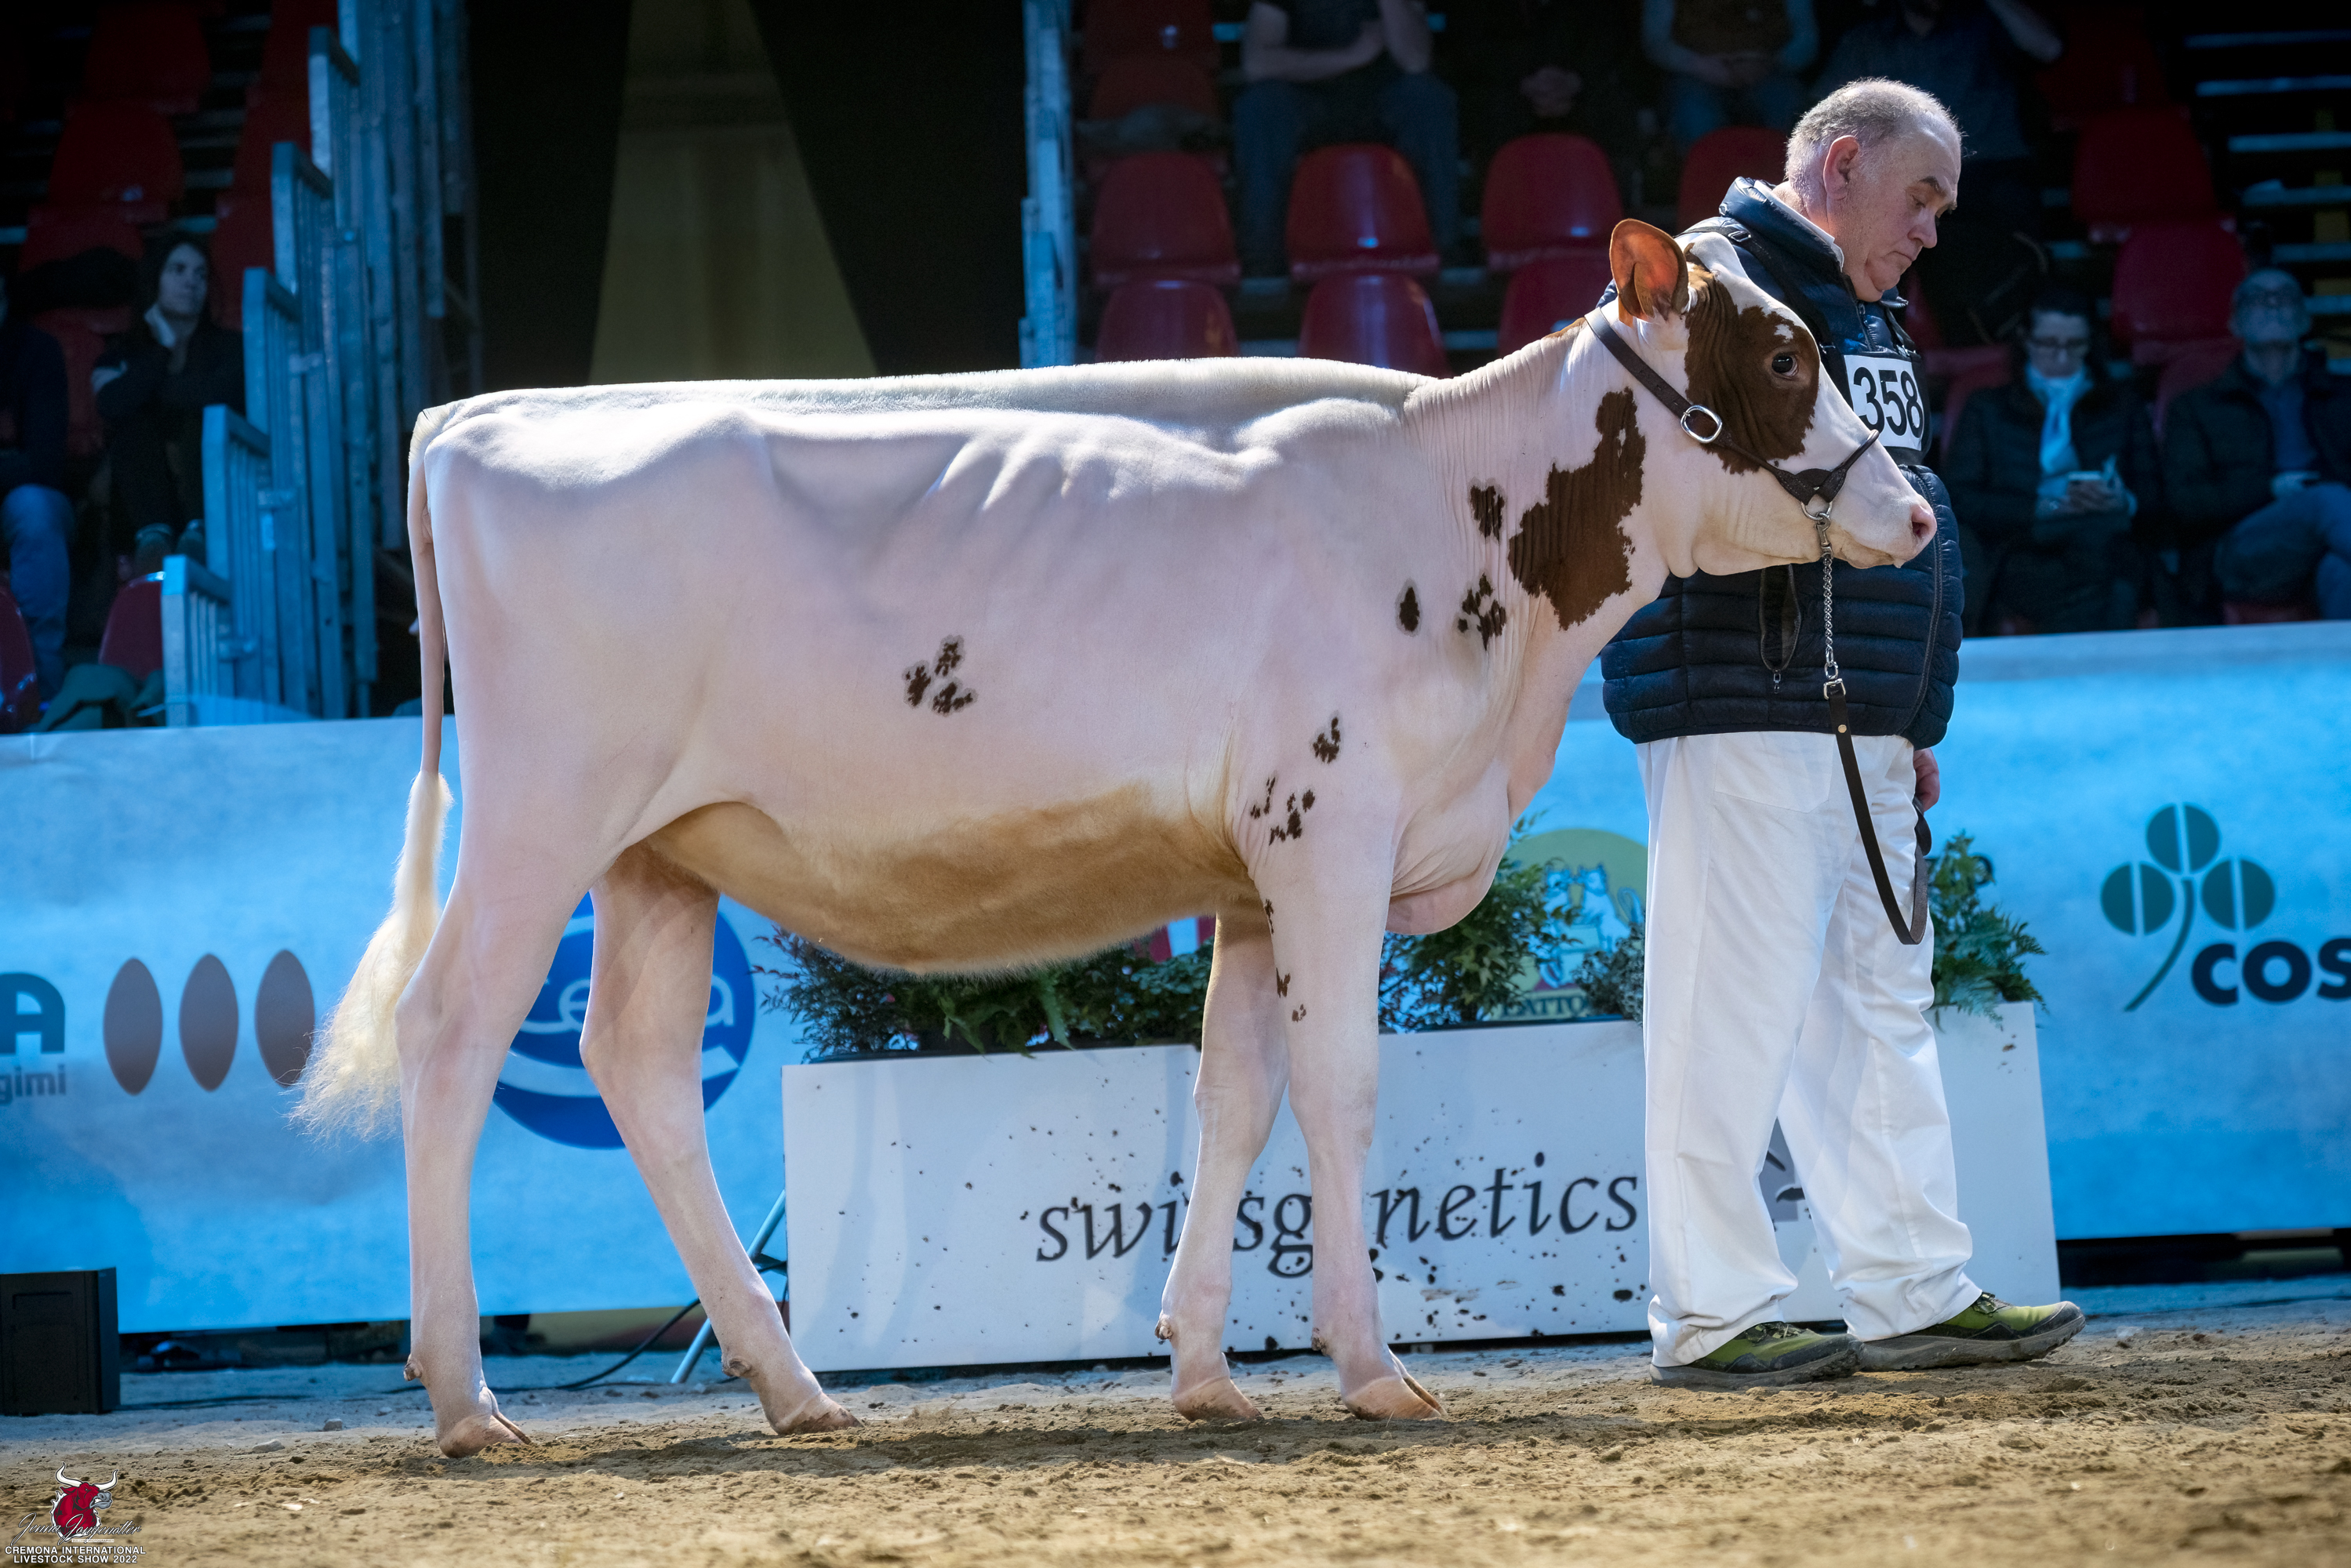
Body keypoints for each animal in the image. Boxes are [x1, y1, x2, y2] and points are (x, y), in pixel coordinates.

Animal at [298, 221, 1934, 1457]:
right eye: (1780, 354)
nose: (1913, 512)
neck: (1469, 541)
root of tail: (489, 421)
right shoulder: (1331, 834)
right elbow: (1339, 1094)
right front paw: (1371, 1368)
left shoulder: (1259, 870)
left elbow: (1232, 1101)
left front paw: (1202, 1369)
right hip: (543, 811)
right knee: (451, 1032)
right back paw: (465, 1397)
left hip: (663, 851)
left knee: (637, 1069)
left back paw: (792, 1386)